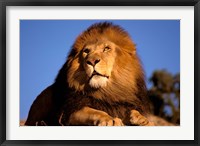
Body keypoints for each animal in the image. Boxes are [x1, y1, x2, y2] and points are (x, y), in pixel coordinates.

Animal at [25, 22, 155, 126]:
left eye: (106, 48)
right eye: (86, 51)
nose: (92, 61)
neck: (108, 91)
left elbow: (133, 111)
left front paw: (141, 119)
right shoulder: (69, 111)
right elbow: (93, 111)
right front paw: (109, 119)